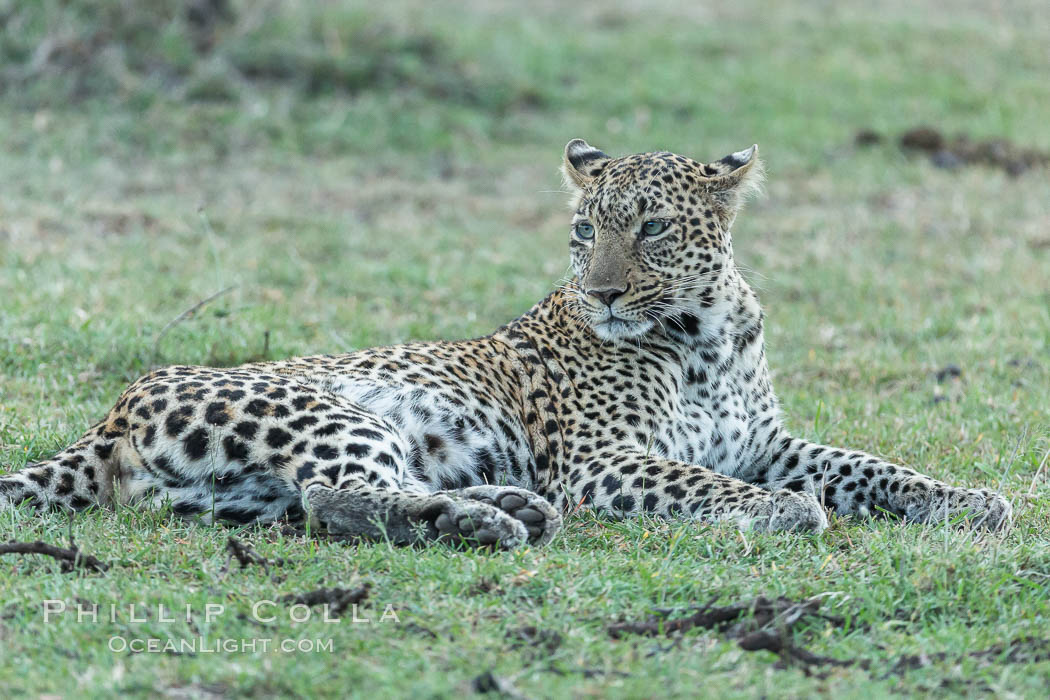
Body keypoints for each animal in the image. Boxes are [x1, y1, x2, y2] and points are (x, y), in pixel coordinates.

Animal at [2, 139, 1016, 549]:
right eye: (584, 230)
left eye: (651, 228)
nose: (603, 291)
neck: (706, 335)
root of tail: (111, 412)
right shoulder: (606, 463)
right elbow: (706, 484)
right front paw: (783, 513)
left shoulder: (769, 442)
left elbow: (867, 463)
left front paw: (969, 500)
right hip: (332, 412)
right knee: (337, 497)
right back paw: (488, 521)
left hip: (239, 493)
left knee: (324, 505)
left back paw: (500, 507)